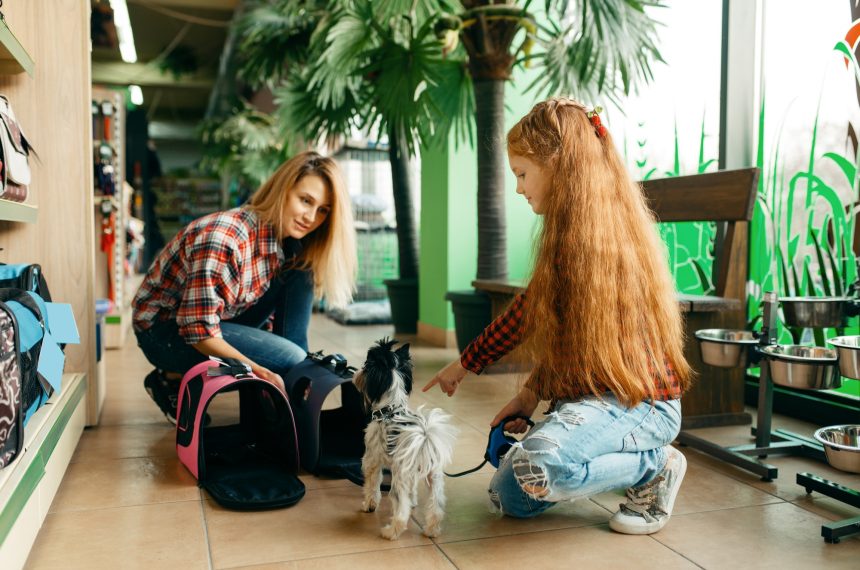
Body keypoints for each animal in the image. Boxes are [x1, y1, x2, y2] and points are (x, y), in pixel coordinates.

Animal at [352, 338, 456, 536]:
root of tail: (424, 439)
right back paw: (431, 530)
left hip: (399, 479)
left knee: (401, 511)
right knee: (436, 506)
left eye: (366, 366)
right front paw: (413, 501)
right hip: (434, 477)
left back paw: (391, 532)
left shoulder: (371, 461)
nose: (357, 373)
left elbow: (371, 486)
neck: (390, 407)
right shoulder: (413, 477)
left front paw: (369, 505)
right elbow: (413, 492)